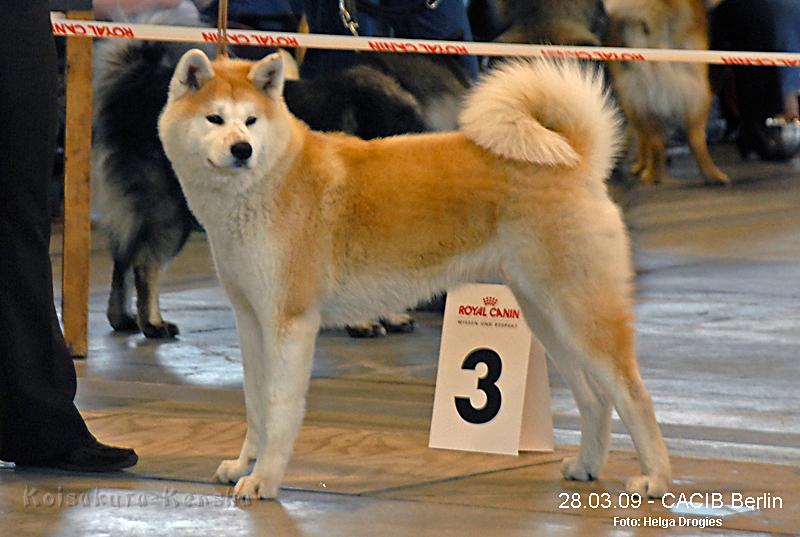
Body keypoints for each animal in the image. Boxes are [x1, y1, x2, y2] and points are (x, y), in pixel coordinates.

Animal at [156, 49, 668, 498]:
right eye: (215, 119)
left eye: (251, 121)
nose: (242, 149)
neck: (267, 182)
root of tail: (575, 158)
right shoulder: (251, 320)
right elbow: (256, 405)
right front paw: (243, 464)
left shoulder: (290, 324)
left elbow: (279, 409)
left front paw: (263, 480)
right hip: (547, 317)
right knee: (595, 399)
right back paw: (587, 466)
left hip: (579, 311)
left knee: (632, 393)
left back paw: (655, 480)